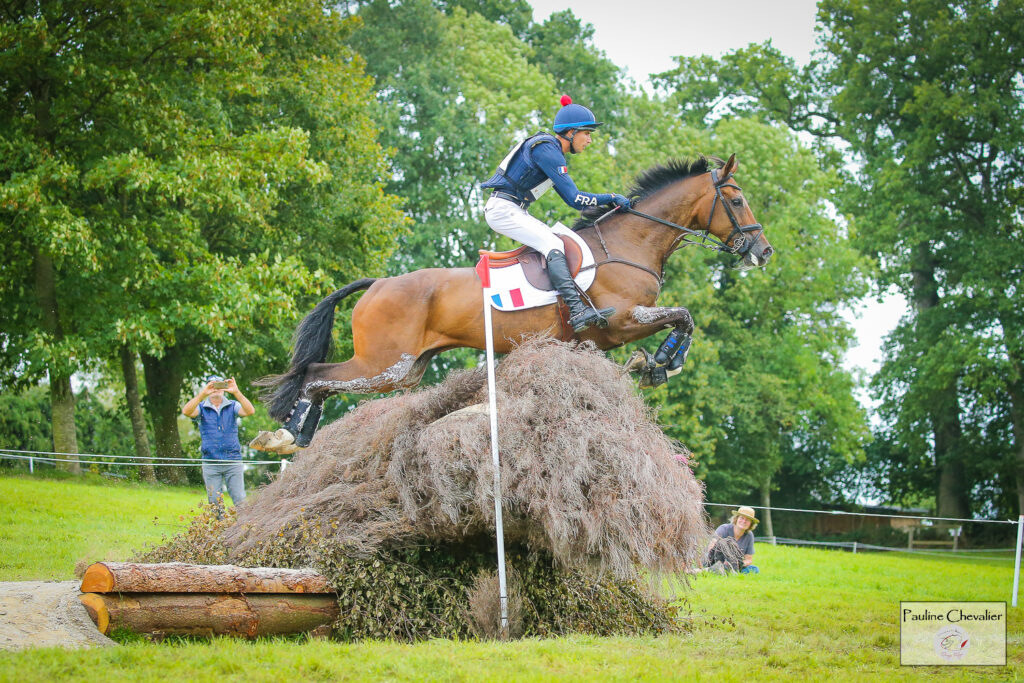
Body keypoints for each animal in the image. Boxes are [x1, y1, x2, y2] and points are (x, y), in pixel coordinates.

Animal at [251, 155, 770, 454]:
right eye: (736, 200)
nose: (763, 252)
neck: (631, 243)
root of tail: (379, 282)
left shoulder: (596, 342)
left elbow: (680, 322)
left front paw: (654, 364)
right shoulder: (620, 321)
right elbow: (684, 317)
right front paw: (661, 361)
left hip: (409, 368)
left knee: (321, 379)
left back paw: (296, 436)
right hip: (386, 365)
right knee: (316, 377)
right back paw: (287, 436)